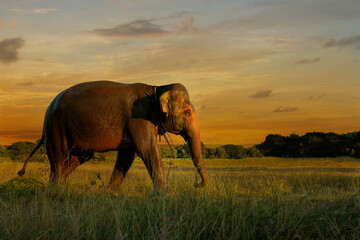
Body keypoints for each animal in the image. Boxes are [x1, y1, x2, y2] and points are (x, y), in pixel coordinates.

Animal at [17, 81, 208, 190]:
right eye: (188, 112)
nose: (197, 184)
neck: (157, 88)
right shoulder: (139, 117)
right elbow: (147, 150)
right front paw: (162, 195)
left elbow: (127, 156)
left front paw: (109, 194)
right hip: (56, 127)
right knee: (58, 158)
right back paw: (56, 193)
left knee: (78, 158)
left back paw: (59, 190)